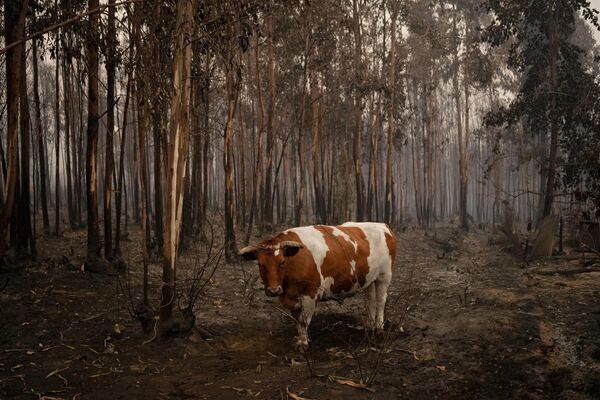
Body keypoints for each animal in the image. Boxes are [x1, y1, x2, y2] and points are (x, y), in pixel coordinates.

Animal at [237, 222, 396, 350]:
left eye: (282, 262)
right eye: (260, 264)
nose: (273, 290)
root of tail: (382, 225)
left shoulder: (310, 294)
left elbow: (304, 320)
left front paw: (304, 344)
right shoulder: (290, 298)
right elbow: (297, 321)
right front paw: (302, 339)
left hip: (384, 276)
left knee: (381, 300)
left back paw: (379, 327)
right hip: (370, 279)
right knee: (371, 301)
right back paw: (369, 326)